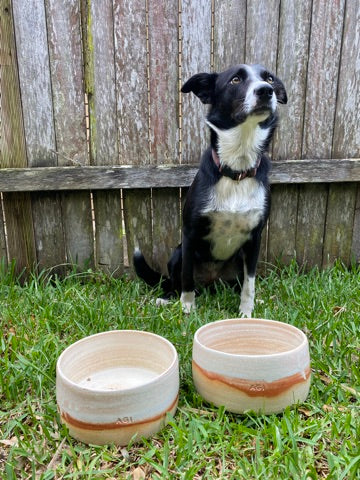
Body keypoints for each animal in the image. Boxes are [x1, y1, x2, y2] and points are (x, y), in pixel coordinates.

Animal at [134, 64, 288, 318]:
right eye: (235, 80)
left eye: (269, 78)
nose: (266, 91)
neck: (236, 171)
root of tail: (211, 282)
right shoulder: (190, 233)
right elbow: (186, 278)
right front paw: (187, 309)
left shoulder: (254, 238)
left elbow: (250, 283)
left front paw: (246, 312)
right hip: (177, 253)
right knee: (175, 282)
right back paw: (167, 298)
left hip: (238, 260)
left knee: (239, 283)